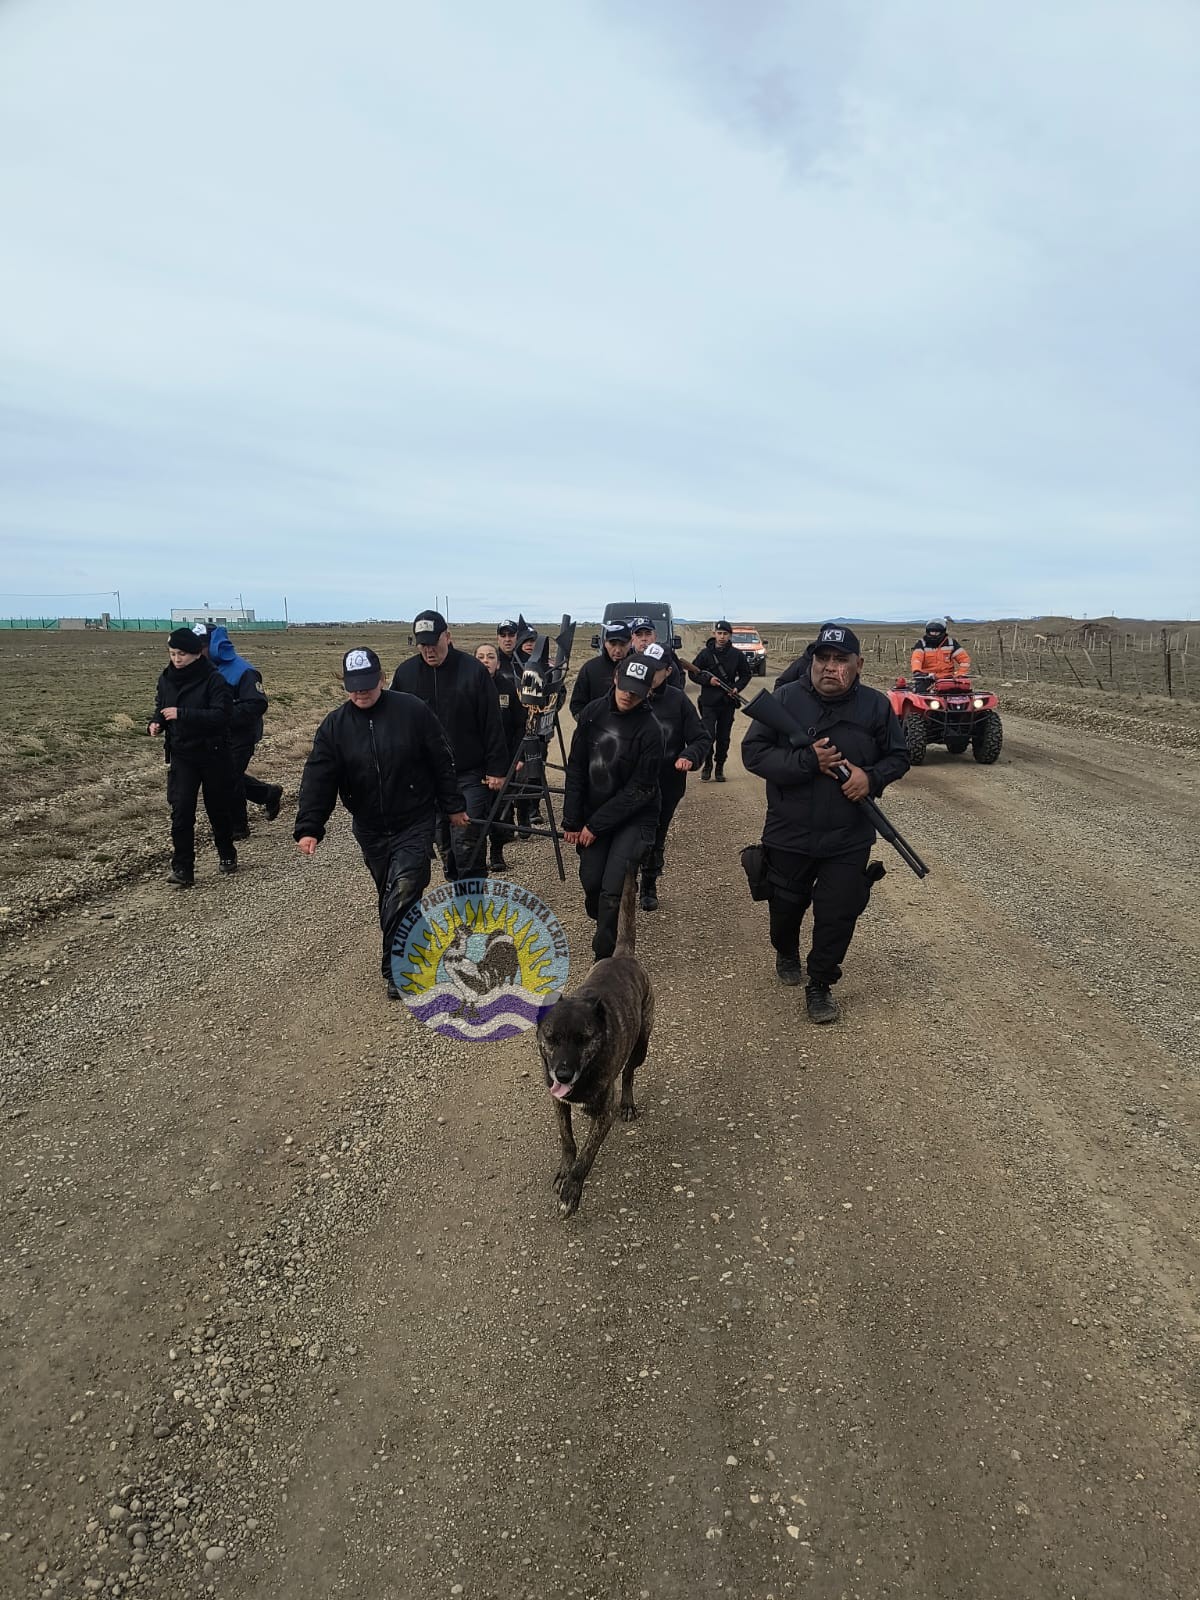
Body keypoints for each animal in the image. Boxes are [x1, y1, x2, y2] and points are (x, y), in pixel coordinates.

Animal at [537, 870, 659, 1216]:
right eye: (551, 1038)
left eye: (584, 1039)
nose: (563, 1074)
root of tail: (623, 955)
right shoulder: (557, 1102)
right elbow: (567, 1140)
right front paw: (564, 1170)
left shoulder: (605, 1112)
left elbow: (587, 1156)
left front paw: (572, 1189)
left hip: (641, 1046)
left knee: (629, 1073)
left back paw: (629, 1103)